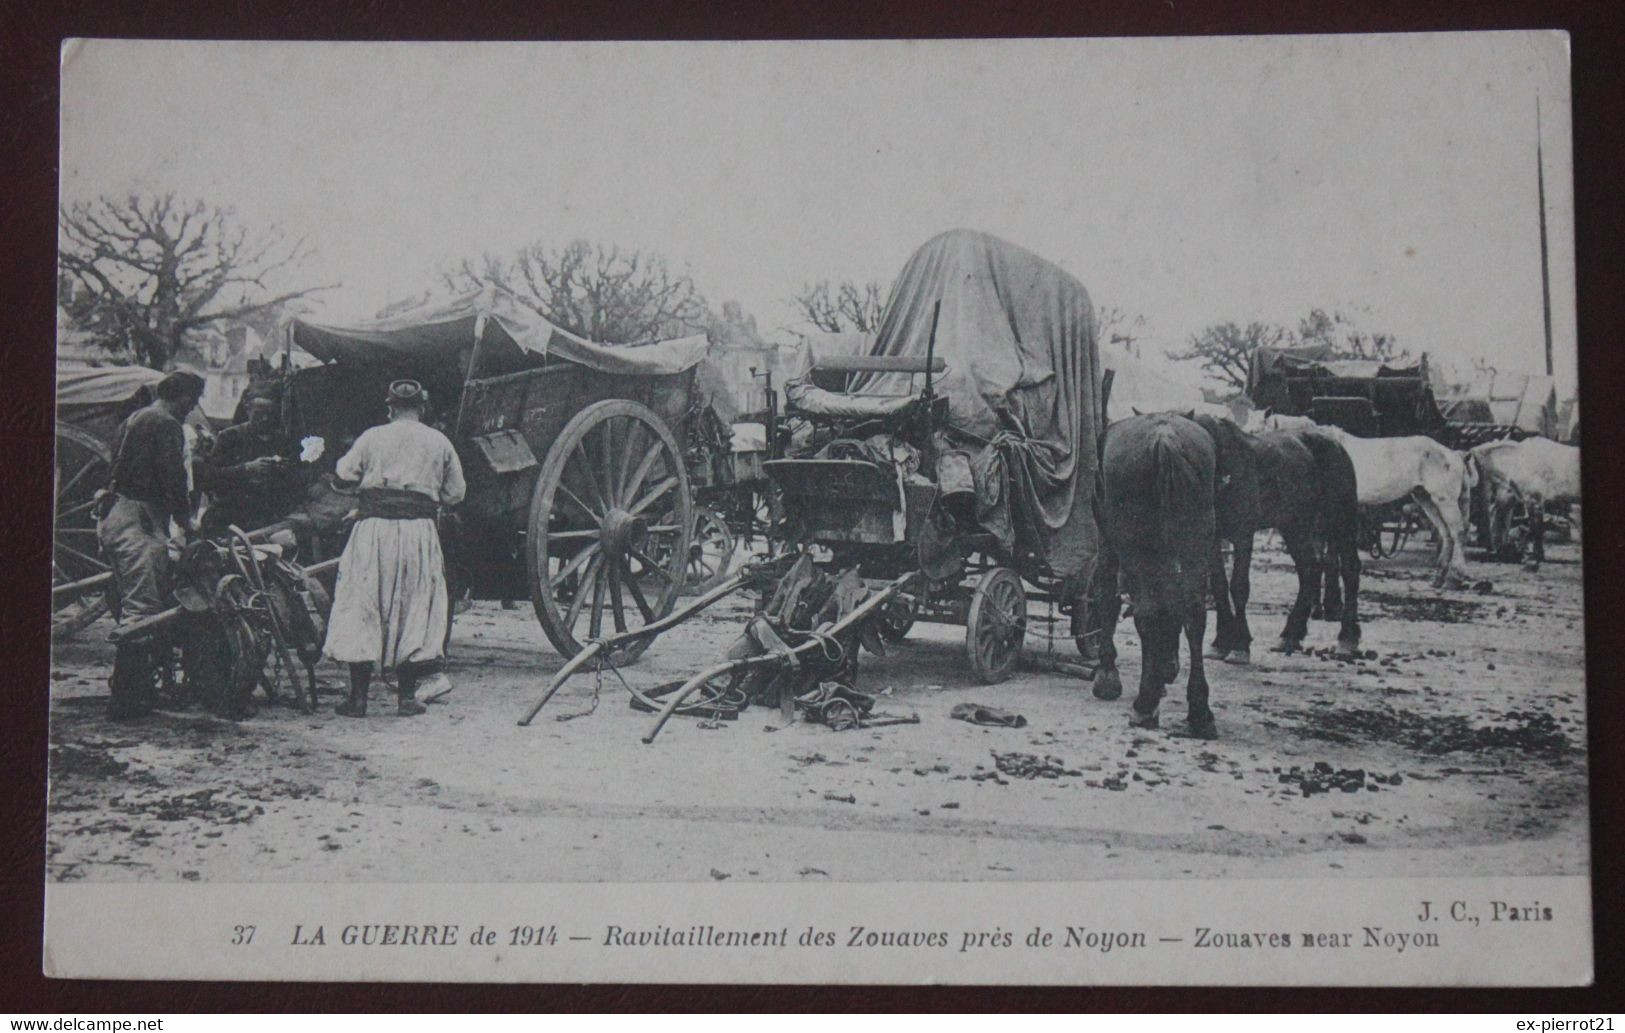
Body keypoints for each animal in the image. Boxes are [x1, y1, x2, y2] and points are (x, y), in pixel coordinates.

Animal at [1092, 407, 1222, 737]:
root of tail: (1165, 437)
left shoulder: (1108, 545)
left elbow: (1108, 598)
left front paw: (1108, 674)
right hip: (1196, 547)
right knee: (1193, 614)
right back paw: (1199, 711)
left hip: (1135, 548)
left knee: (1149, 611)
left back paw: (1145, 705)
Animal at [1189, 410, 1365, 662]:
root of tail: (1336, 444)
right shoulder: (1213, 540)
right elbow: (1220, 585)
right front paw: (1221, 642)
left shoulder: (1243, 535)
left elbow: (1239, 586)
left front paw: (1240, 646)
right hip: (1294, 526)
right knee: (1309, 569)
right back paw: (1291, 634)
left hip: (1341, 520)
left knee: (1349, 569)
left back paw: (1347, 638)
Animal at [1241, 410, 1475, 587]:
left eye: (1254, 431)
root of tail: (1454, 454)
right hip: (1425, 498)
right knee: (1446, 533)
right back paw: (1439, 578)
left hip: (1444, 499)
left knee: (1457, 532)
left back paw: (1457, 575)